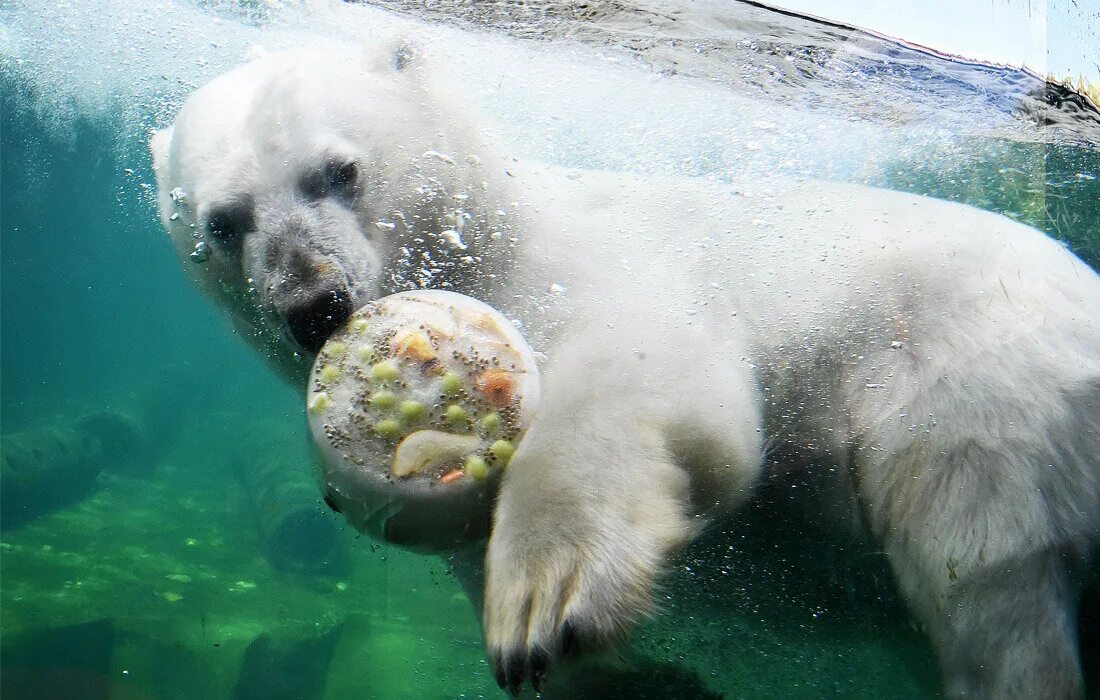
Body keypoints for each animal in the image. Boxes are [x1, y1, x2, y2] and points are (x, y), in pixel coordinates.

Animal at [148, 40, 1100, 695]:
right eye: (223, 222)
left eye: (338, 170)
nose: (315, 305)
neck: (495, 242)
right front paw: (646, 681)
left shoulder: (609, 266)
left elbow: (649, 382)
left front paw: (543, 604)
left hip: (972, 370)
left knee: (981, 558)